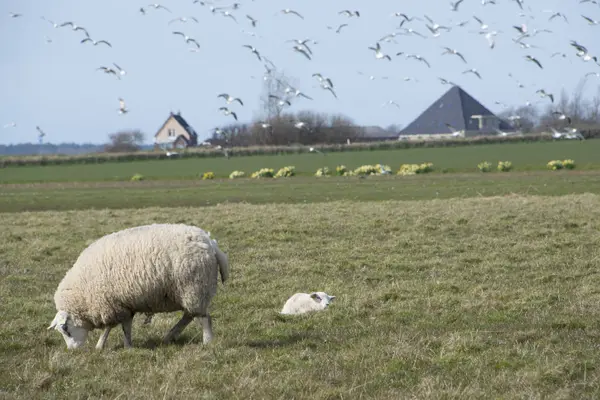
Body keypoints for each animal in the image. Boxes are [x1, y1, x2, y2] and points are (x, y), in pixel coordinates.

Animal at [47, 223, 229, 348]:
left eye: (66, 329)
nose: (73, 350)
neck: (83, 295)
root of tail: (210, 242)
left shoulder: (111, 304)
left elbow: (112, 326)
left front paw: (102, 344)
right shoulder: (123, 304)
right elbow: (125, 327)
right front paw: (126, 346)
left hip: (194, 288)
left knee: (203, 318)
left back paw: (207, 341)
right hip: (190, 292)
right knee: (189, 315)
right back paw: (169, 336)